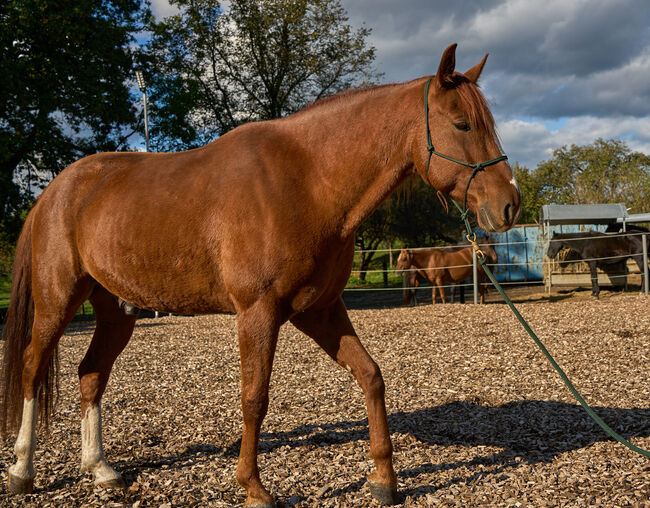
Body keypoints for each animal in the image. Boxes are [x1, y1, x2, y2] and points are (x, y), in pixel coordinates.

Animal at [0, 43, 516, 504]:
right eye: (462, 124)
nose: (509, 204)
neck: (308, 181)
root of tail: (54, 192)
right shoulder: (258, 313)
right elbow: (255, 398)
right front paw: (253, 487)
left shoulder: (319, 311)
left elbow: (371, 376)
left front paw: (384, 480)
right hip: (57, 301)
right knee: (31, 367)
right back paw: (23, 470)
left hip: (116, 311)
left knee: (91, 374)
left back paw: (101, 469)